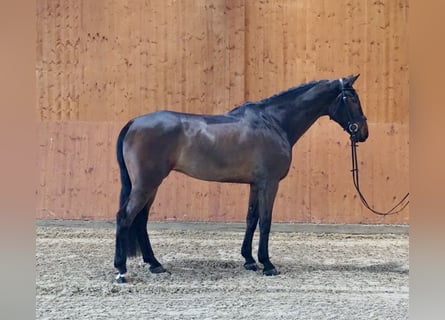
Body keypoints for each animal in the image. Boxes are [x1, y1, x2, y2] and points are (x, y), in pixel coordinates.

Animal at [113, 74, 368, 282]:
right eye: (352, 99)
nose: (363, 133)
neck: (273, 122)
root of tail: (133, 123)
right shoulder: (269, 184)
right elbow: (265, 222)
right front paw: (267, 264)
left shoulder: (256, 184)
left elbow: (251, 219)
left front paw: (249, 260)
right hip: (146, 184)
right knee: (125, 217)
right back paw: (121, 270)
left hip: (151, 185)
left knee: (141, 220)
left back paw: (155, 265)